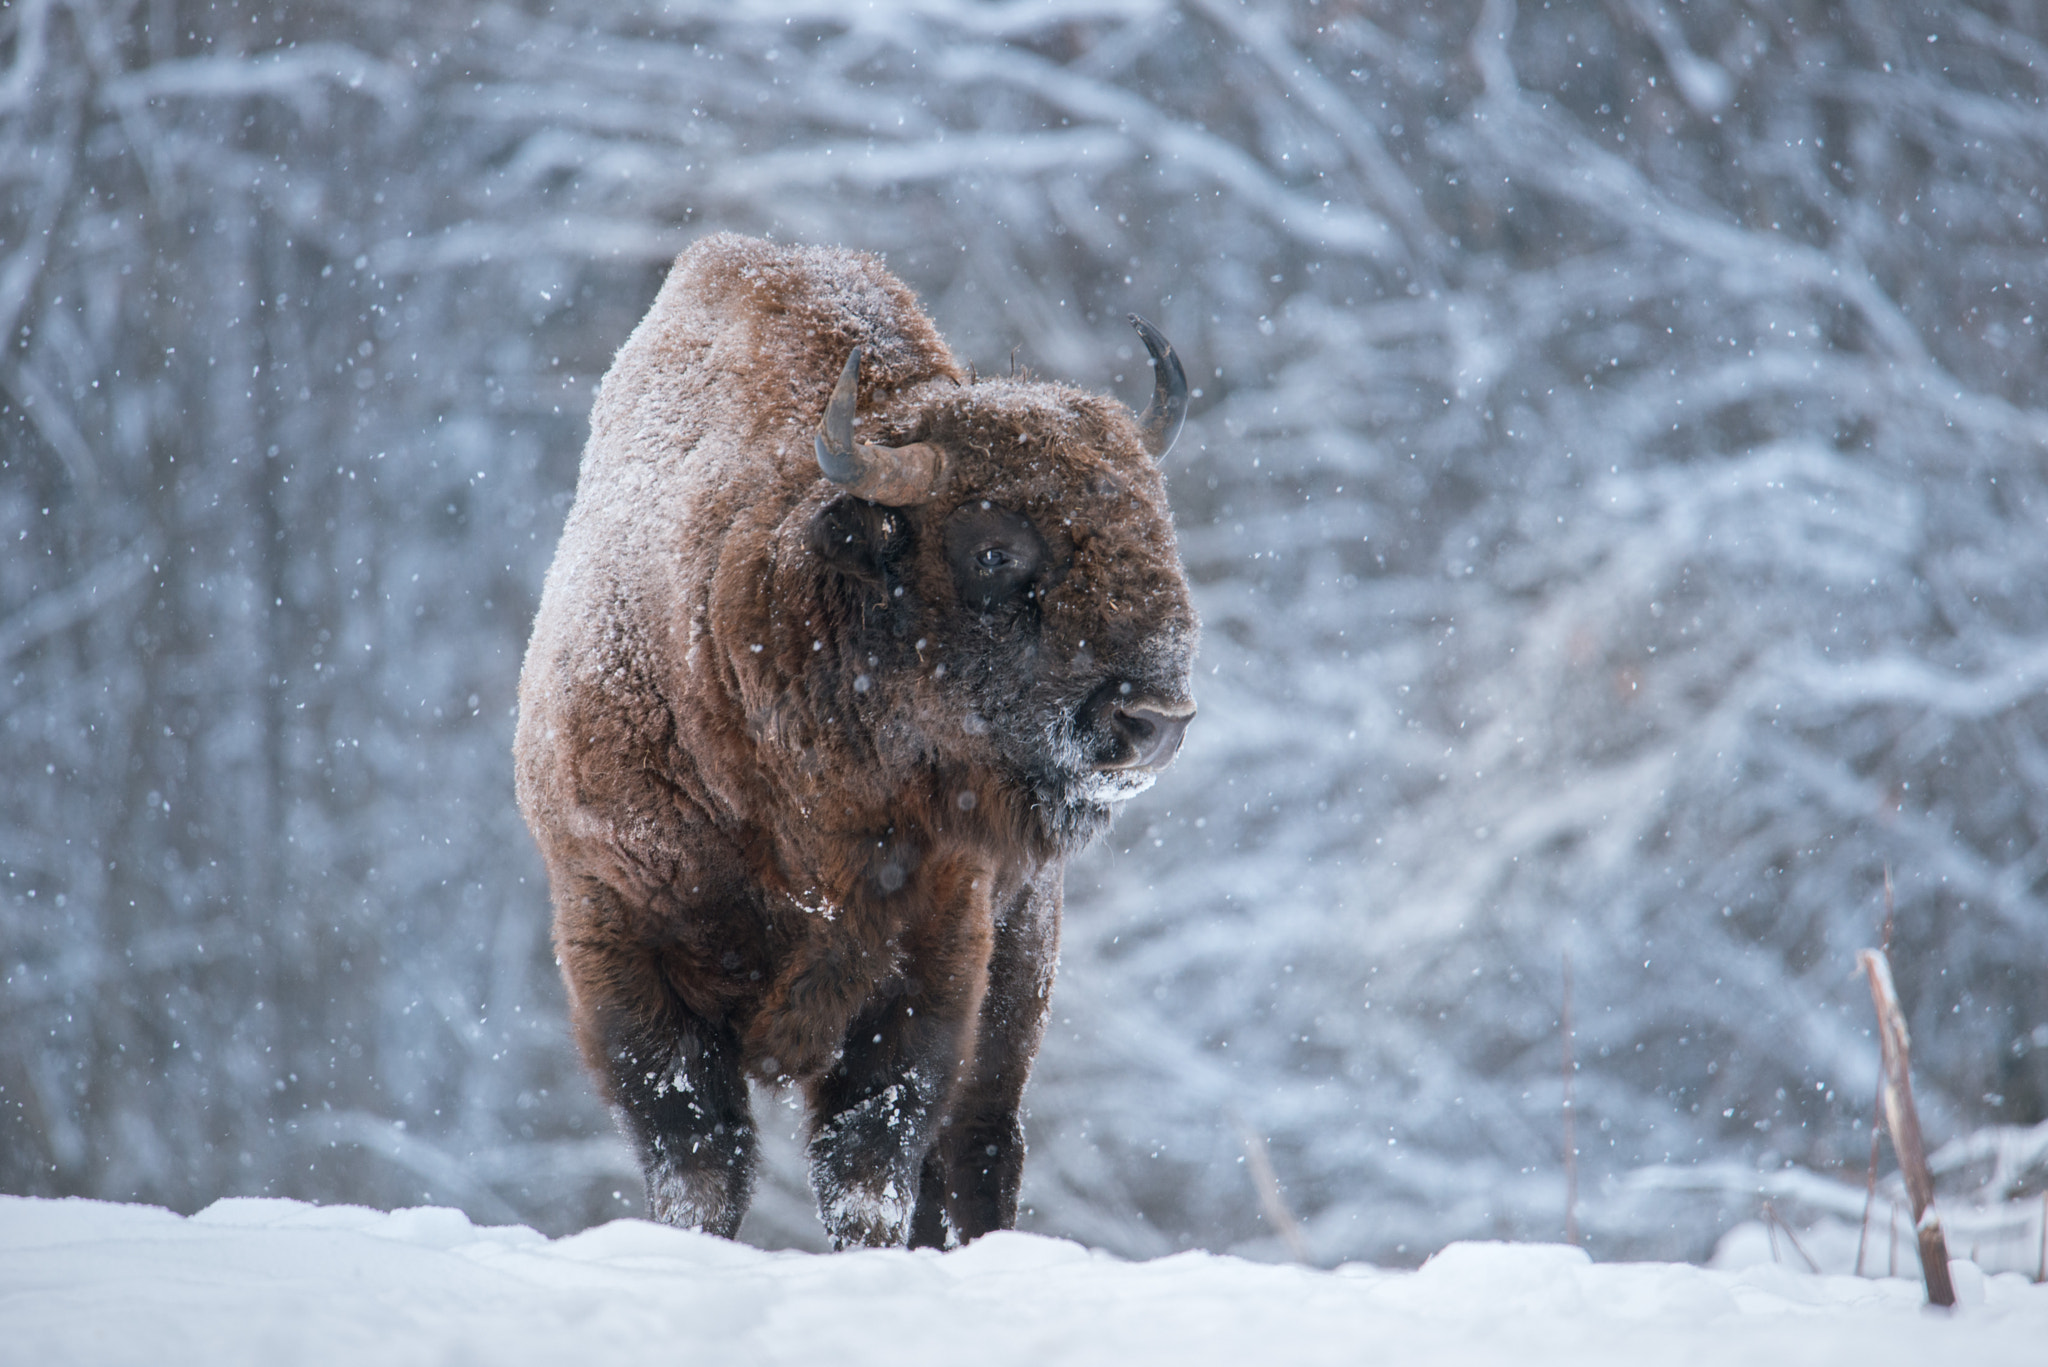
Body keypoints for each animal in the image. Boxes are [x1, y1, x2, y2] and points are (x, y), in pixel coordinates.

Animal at [516, 237, 1196, 1254]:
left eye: (1153, 520)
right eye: (994, 550)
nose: (1155, 718)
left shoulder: (932, 959)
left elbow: (870, 1159)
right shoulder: (618, 937)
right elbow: (698, 1158)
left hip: (1018, 968)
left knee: (979, 1146)